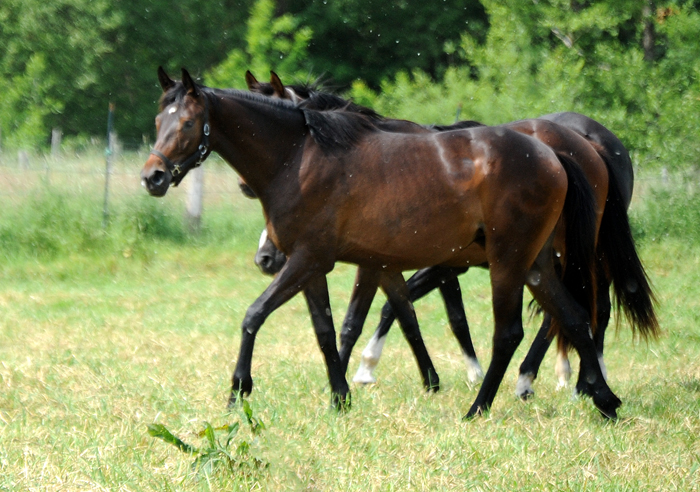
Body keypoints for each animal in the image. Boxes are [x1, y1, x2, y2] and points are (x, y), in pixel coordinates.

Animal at [141, 67, 616, 418]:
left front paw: (239, 390)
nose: (153, 177)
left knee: (512, 332)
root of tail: (556, 155)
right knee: (574, 318)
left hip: (509, 263)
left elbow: (255, 315)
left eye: (188, 123)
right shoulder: (318, 266)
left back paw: (479, 407)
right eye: (159, 121)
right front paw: (340, 398)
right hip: (537, 265)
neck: (300, 159)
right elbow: (330, 328)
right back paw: (604, 400)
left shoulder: (313, 261)